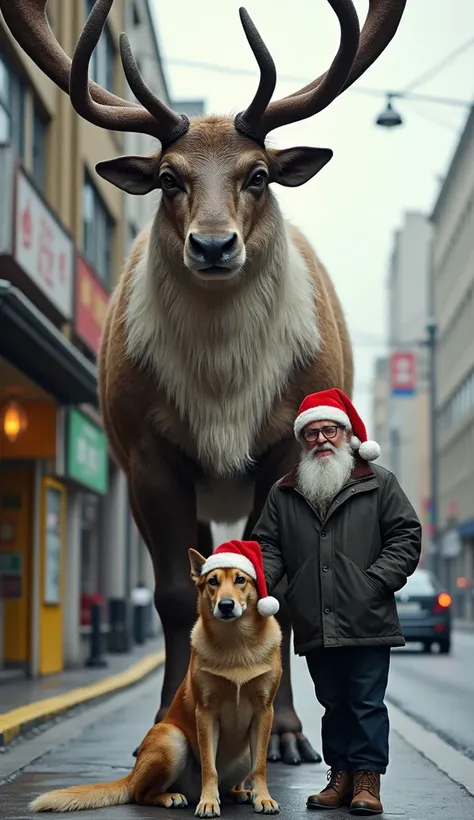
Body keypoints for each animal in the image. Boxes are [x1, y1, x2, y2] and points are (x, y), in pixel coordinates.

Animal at [31, 552, 284, 812]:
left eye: (240, 579)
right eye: (213, 581)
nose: (225, 605)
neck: (236, 643)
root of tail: (132, 775)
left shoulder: (264, 711)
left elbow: (260, 766)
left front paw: (262, 797)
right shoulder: (205, 712)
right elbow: (209, 766)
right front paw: (208, 802)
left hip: (242, 752)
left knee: (229, 785)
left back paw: (240, 793)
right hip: (172, 740)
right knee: (141, 794)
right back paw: (172, 797)